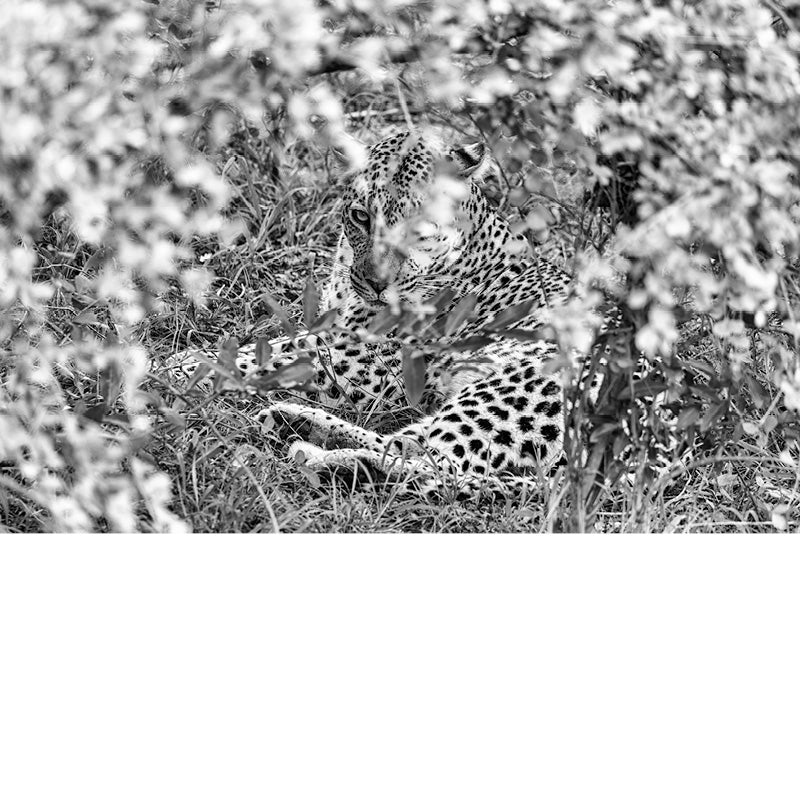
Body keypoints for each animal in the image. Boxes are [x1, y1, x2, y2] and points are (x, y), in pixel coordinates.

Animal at [165, 130, 578, 497]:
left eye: (421, 227)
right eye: (362, 217)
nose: (378, 283)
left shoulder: (366, 363)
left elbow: (272, 358)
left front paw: (175, 368)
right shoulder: (335, 333)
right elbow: (275, 346)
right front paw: (184, 361)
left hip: (517, 385)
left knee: (433, 463)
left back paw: (315, 449)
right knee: (420, 450)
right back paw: (301, 429)